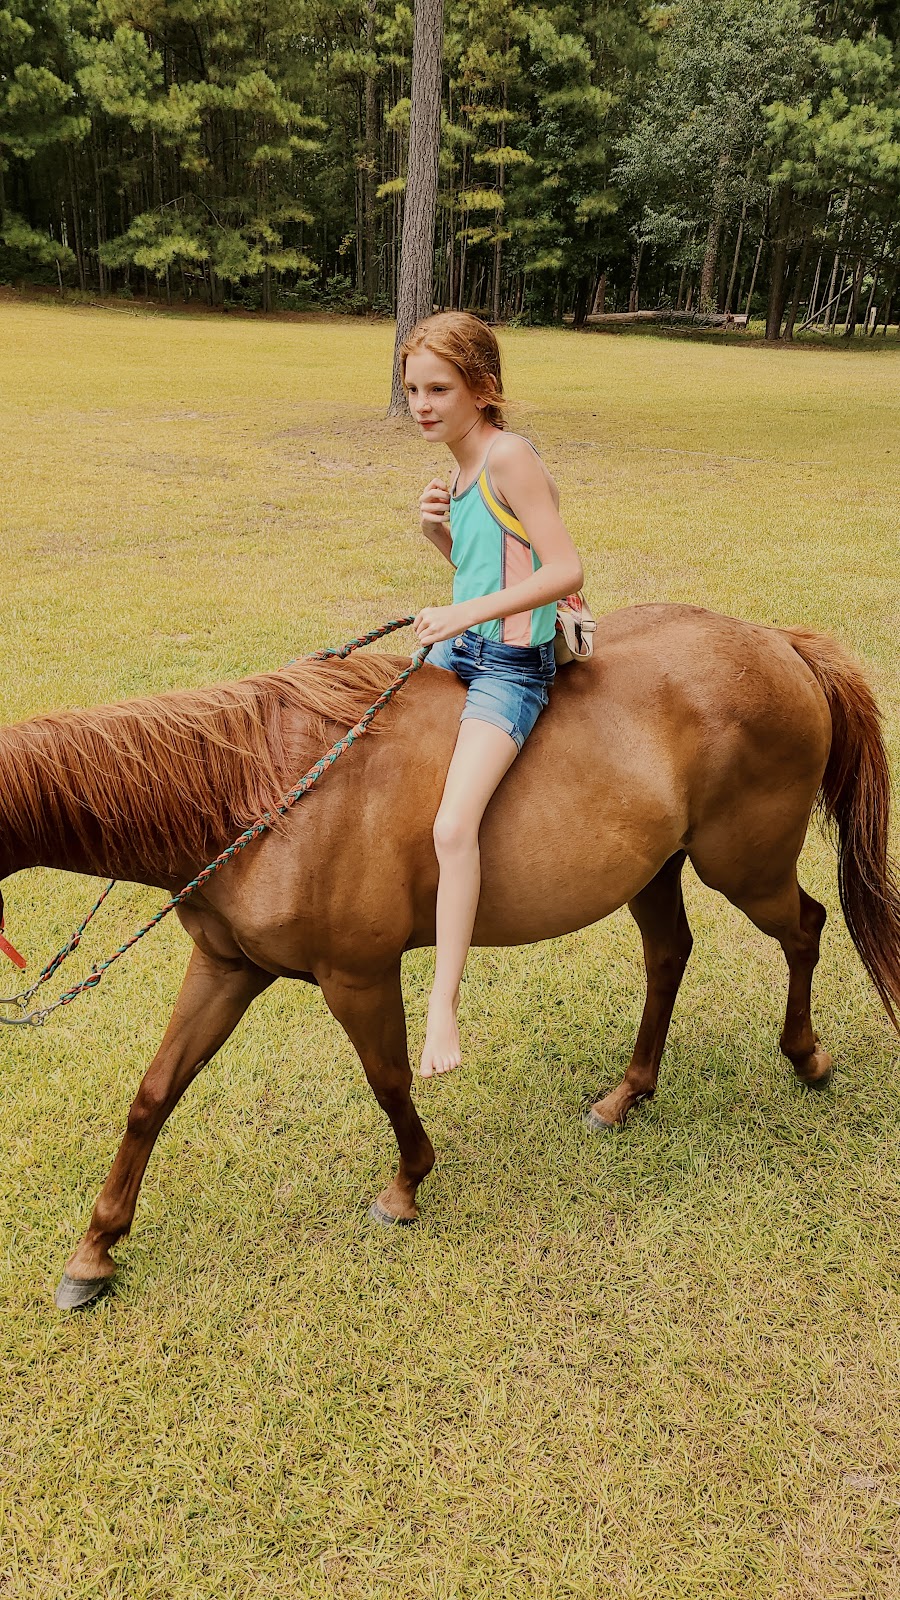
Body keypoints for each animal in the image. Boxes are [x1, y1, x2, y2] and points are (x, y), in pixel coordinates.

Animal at [0, 604, 890, 1305]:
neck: (263, 791)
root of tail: (779, 642)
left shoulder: (357, 974)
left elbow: (389, 1081)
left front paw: (405, 1187)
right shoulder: (227, 969)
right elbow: (153, 1096)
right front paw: (95, 1252)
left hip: (745, 865)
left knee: (806, 928)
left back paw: (806, 1057)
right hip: (655, 868)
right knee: (670, 957)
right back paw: (627, 1094)